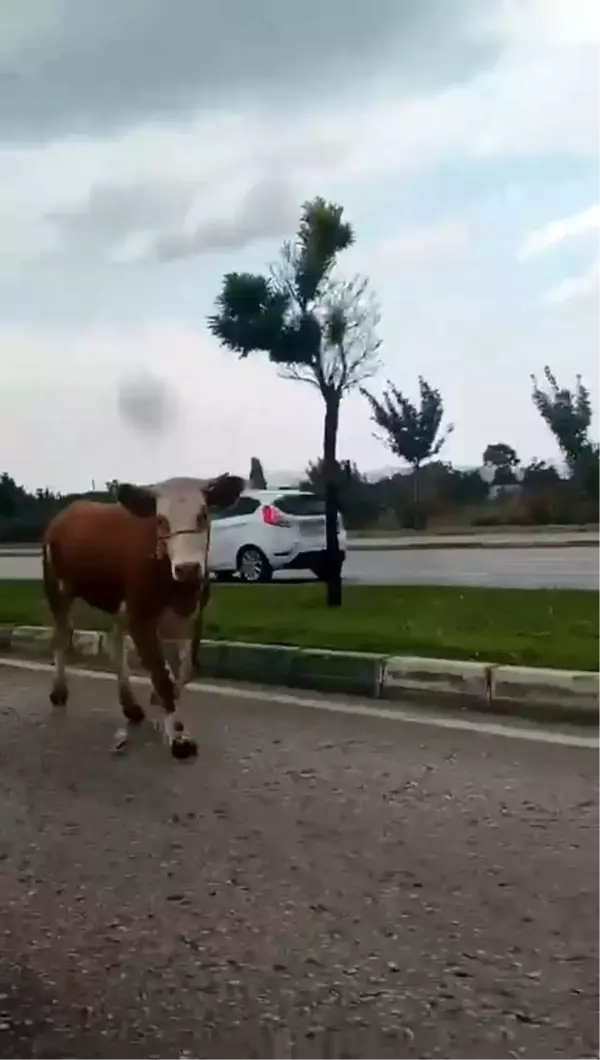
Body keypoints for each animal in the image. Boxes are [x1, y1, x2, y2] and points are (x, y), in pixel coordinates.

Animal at [40, 476, 244, 758]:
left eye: (203, 515)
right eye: (160, 520)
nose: (187, 568)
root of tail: (68, 511)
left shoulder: (190, 616)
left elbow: (184, 670)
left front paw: (163, 706)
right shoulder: (141, 617)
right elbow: (162, 675)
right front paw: (179, 737)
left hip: (115, 601)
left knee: (114, 643)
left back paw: (131, 706)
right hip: (58, 588)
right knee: (62, 635)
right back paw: (59, 692)